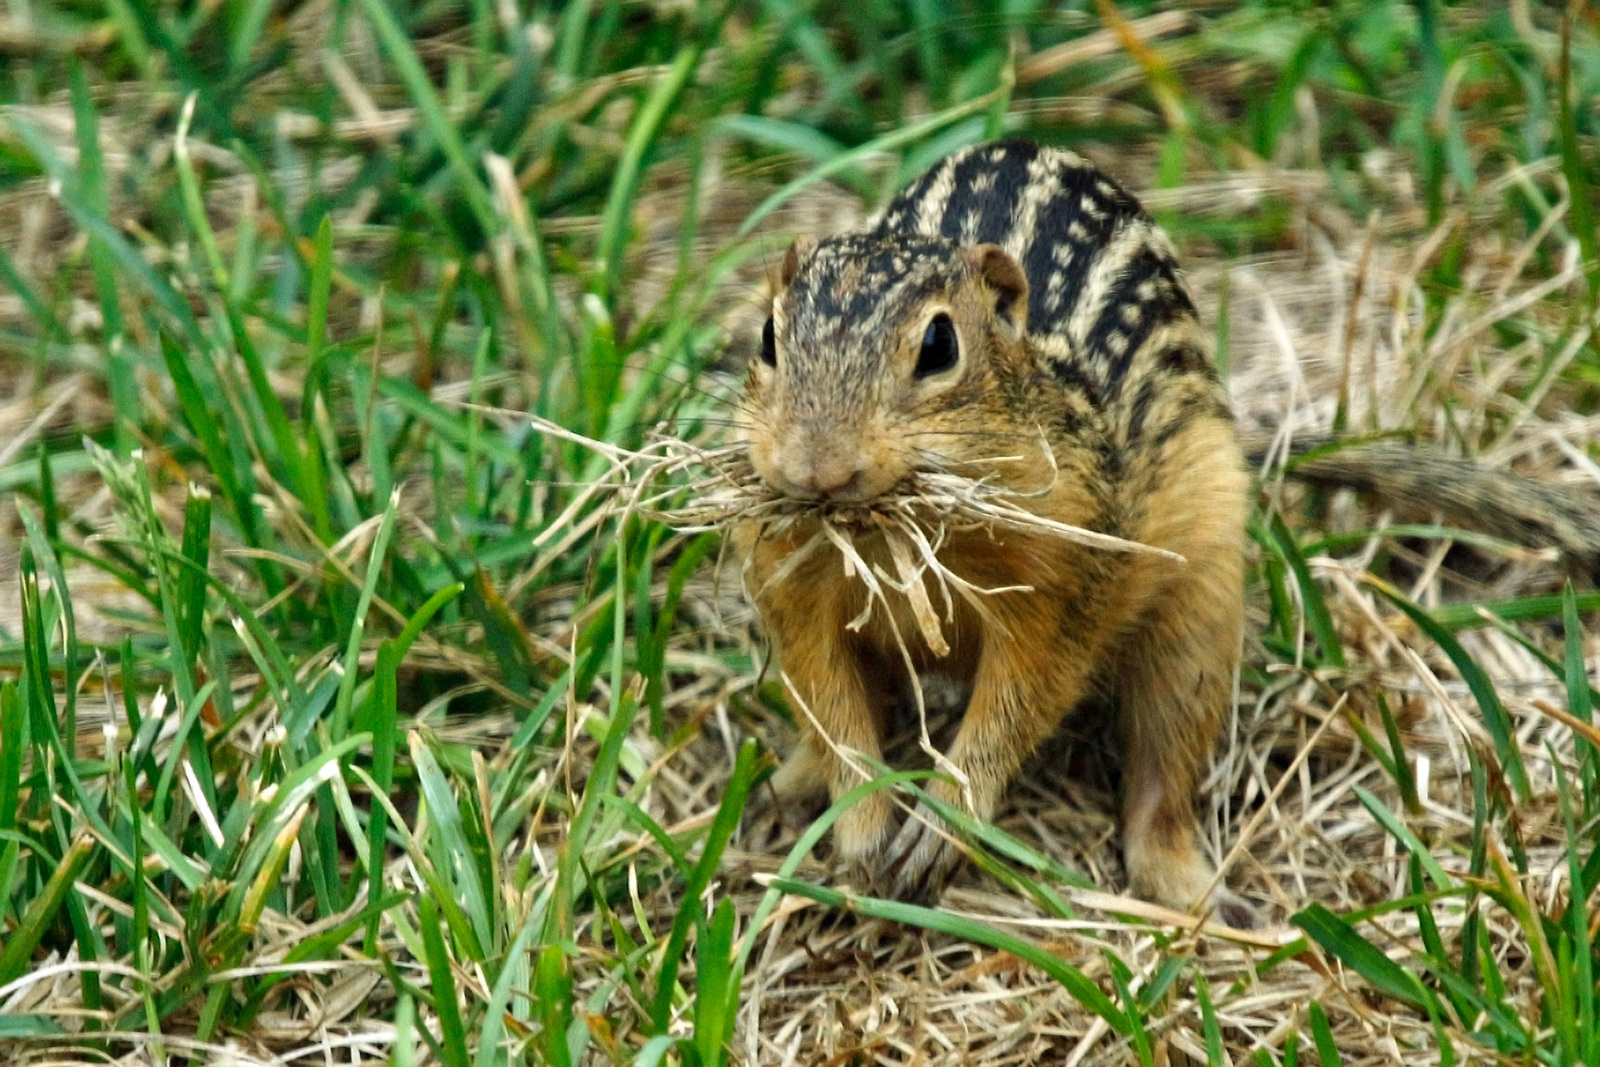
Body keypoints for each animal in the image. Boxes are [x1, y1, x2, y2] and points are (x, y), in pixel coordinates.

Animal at [731, 138, 1600, 926]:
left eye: (939, 346)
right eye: (768, 338)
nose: (816, 468)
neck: (898, 534)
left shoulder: (1069, 580)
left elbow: (1019, 702)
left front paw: (942, 820)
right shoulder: (792, 587)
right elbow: (832, 705)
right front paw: (860, 828)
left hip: (1199, 618)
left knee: (1163, 773)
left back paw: (1201, 895)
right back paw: (785, 786)